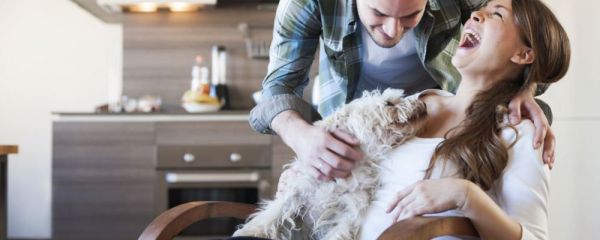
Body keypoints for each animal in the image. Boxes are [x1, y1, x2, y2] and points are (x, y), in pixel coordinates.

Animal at [233, 89, 426, 239]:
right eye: (389, 103)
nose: (421, 103)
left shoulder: (350, 211)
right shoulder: (297, 192)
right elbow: (270, 215)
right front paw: (249, 231)